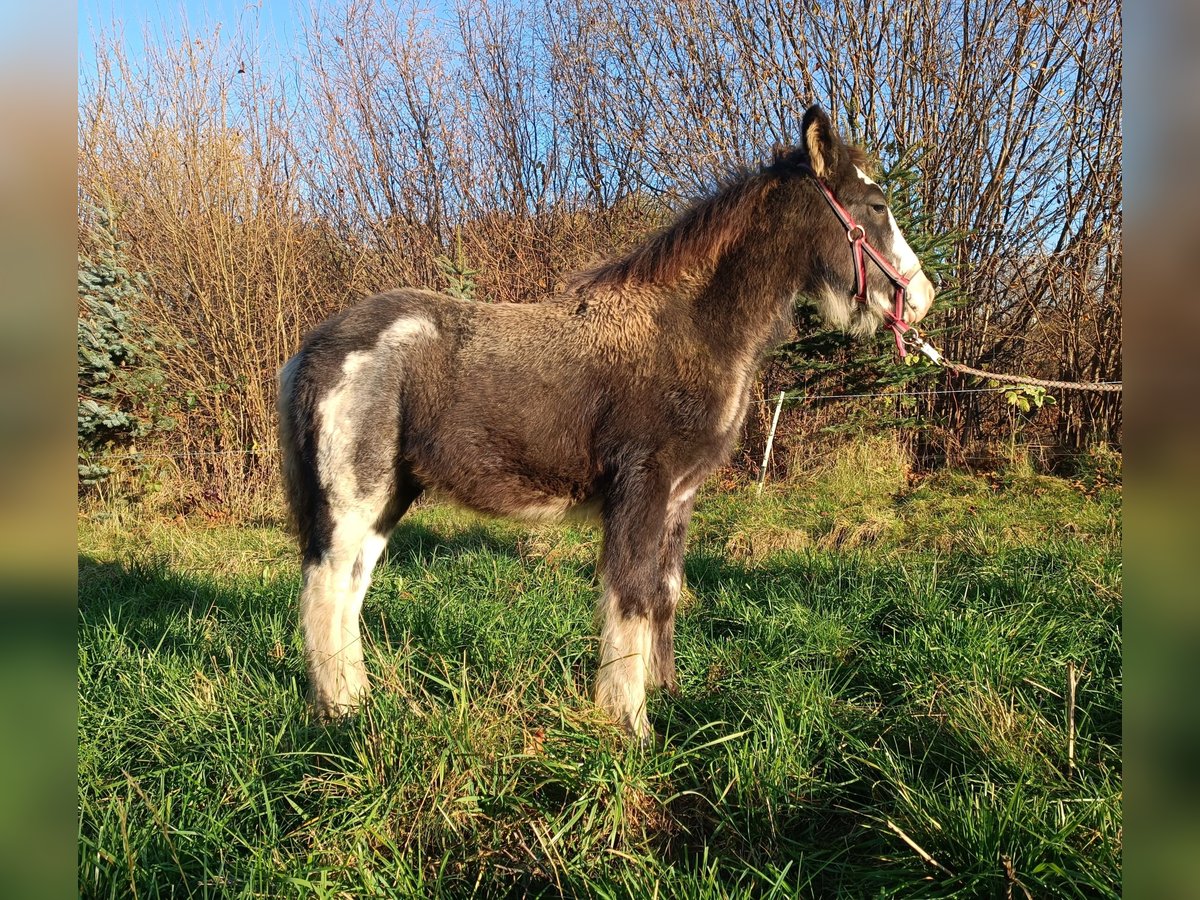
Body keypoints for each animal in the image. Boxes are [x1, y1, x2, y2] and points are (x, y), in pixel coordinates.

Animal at [278, 105, 936, 744]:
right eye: (876, 206)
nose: (922, 297)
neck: (690, 328)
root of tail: (311, 349)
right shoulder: (641, 488)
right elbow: (630, 598)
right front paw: (630, 723)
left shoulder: (678, 497)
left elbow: (665, 593)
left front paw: (668, 697)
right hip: (354, 498)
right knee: (324, 588)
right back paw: (340, 713)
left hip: (390, 497)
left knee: (350, 590)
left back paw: (362, 703)